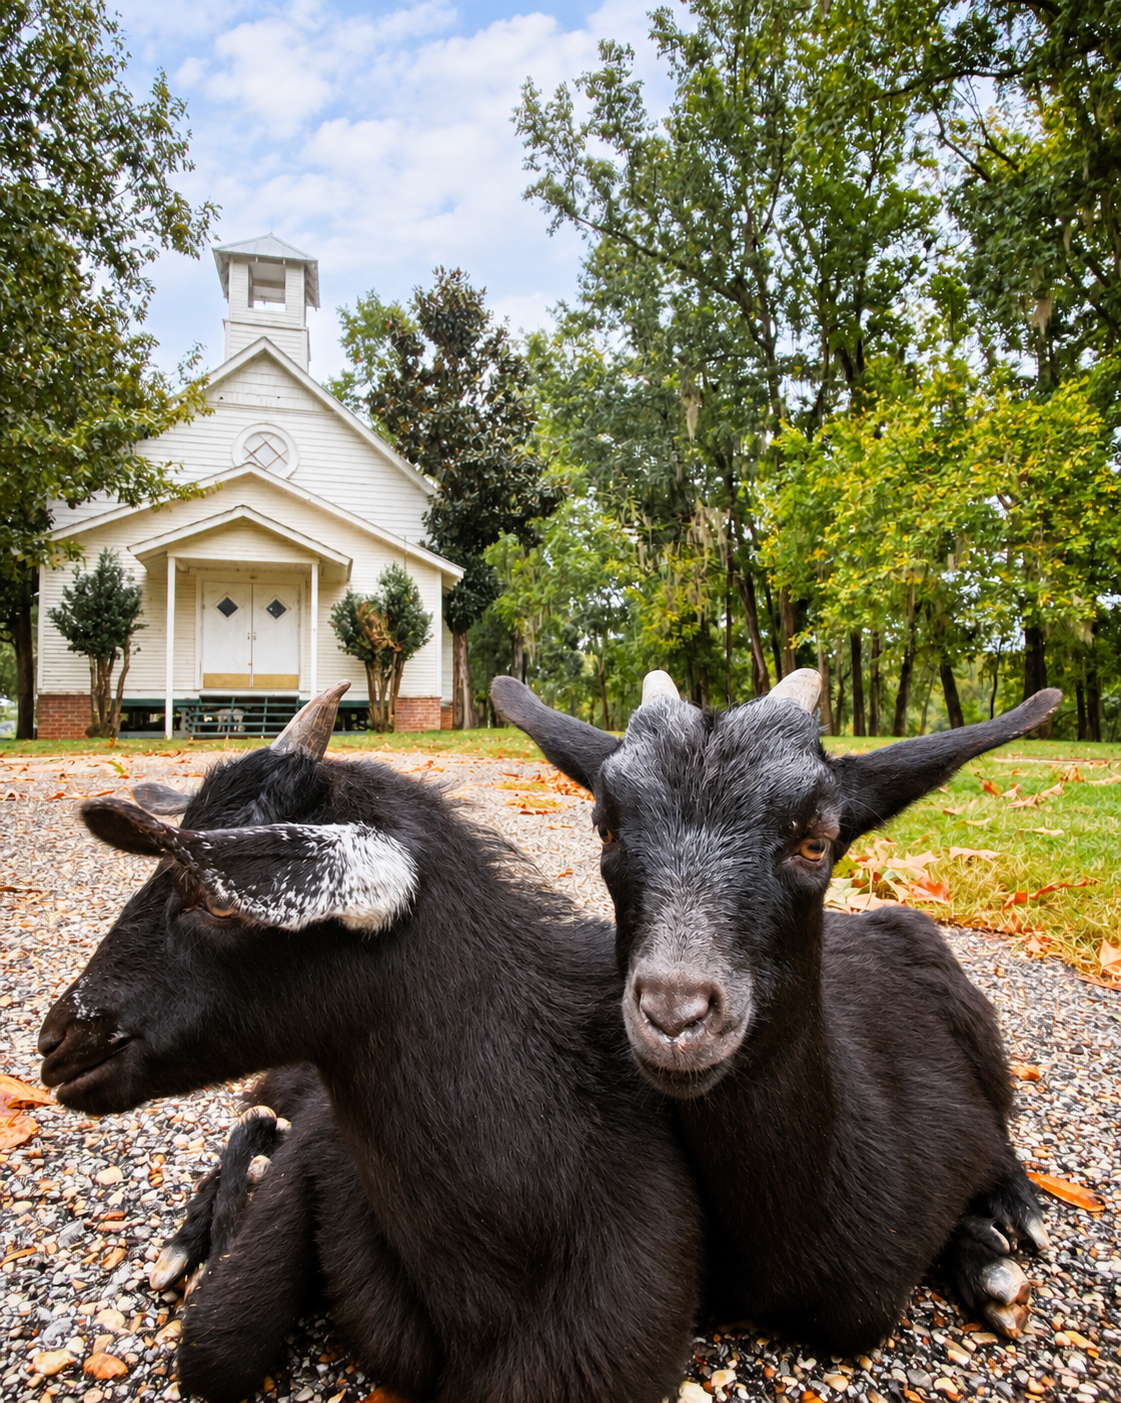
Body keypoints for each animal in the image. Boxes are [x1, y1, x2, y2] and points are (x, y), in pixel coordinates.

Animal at [491, 670, 1059, 1354]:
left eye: (816, 843)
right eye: (607, 830)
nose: (674, 1015)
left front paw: (990, 1247)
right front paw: (981, 1255)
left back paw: (1016, 1213)